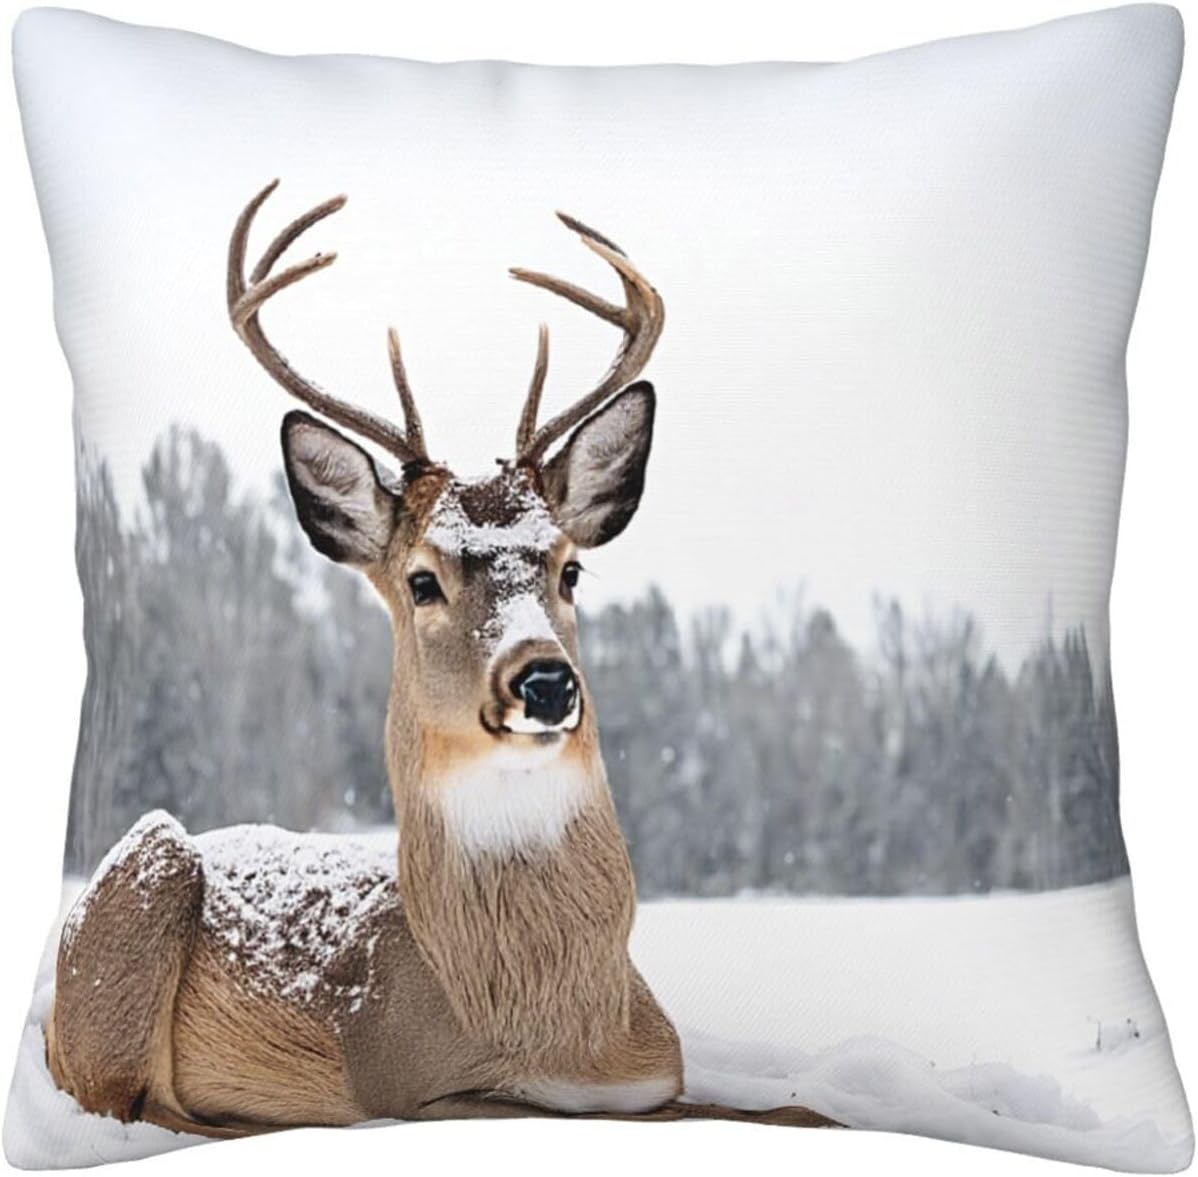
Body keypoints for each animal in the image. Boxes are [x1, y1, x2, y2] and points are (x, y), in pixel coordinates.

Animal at [46, 181, 831, 1138]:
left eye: (570, 568)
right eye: (422, 580)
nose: (544, 679)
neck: (571, 1028)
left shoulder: (658, 1073)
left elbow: (800, 1111)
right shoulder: (414, 1083)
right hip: (141, 883)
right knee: (139, 1102)